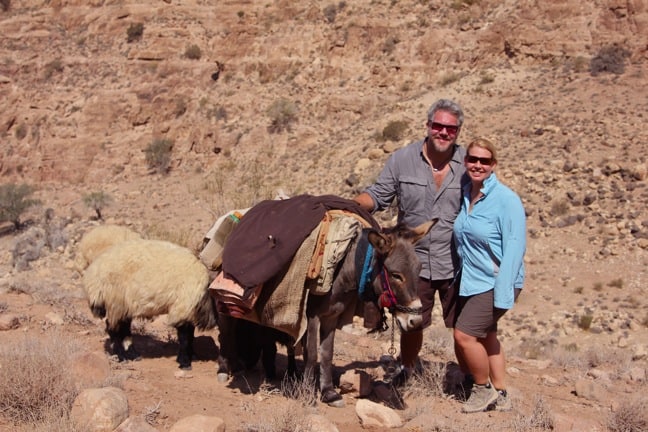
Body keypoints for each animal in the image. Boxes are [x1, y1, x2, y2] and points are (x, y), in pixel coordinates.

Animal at [81, 238, 215, 370]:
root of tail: (93, 275)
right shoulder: (182, 307)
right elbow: (185, 337)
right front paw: (185, 362)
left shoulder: (189, 310)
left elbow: (190, 335)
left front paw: (191, 356)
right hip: (115, 301)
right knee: (113, 328)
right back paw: (121, 357)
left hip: (124, 305)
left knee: (124, 328)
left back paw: (133, 355)